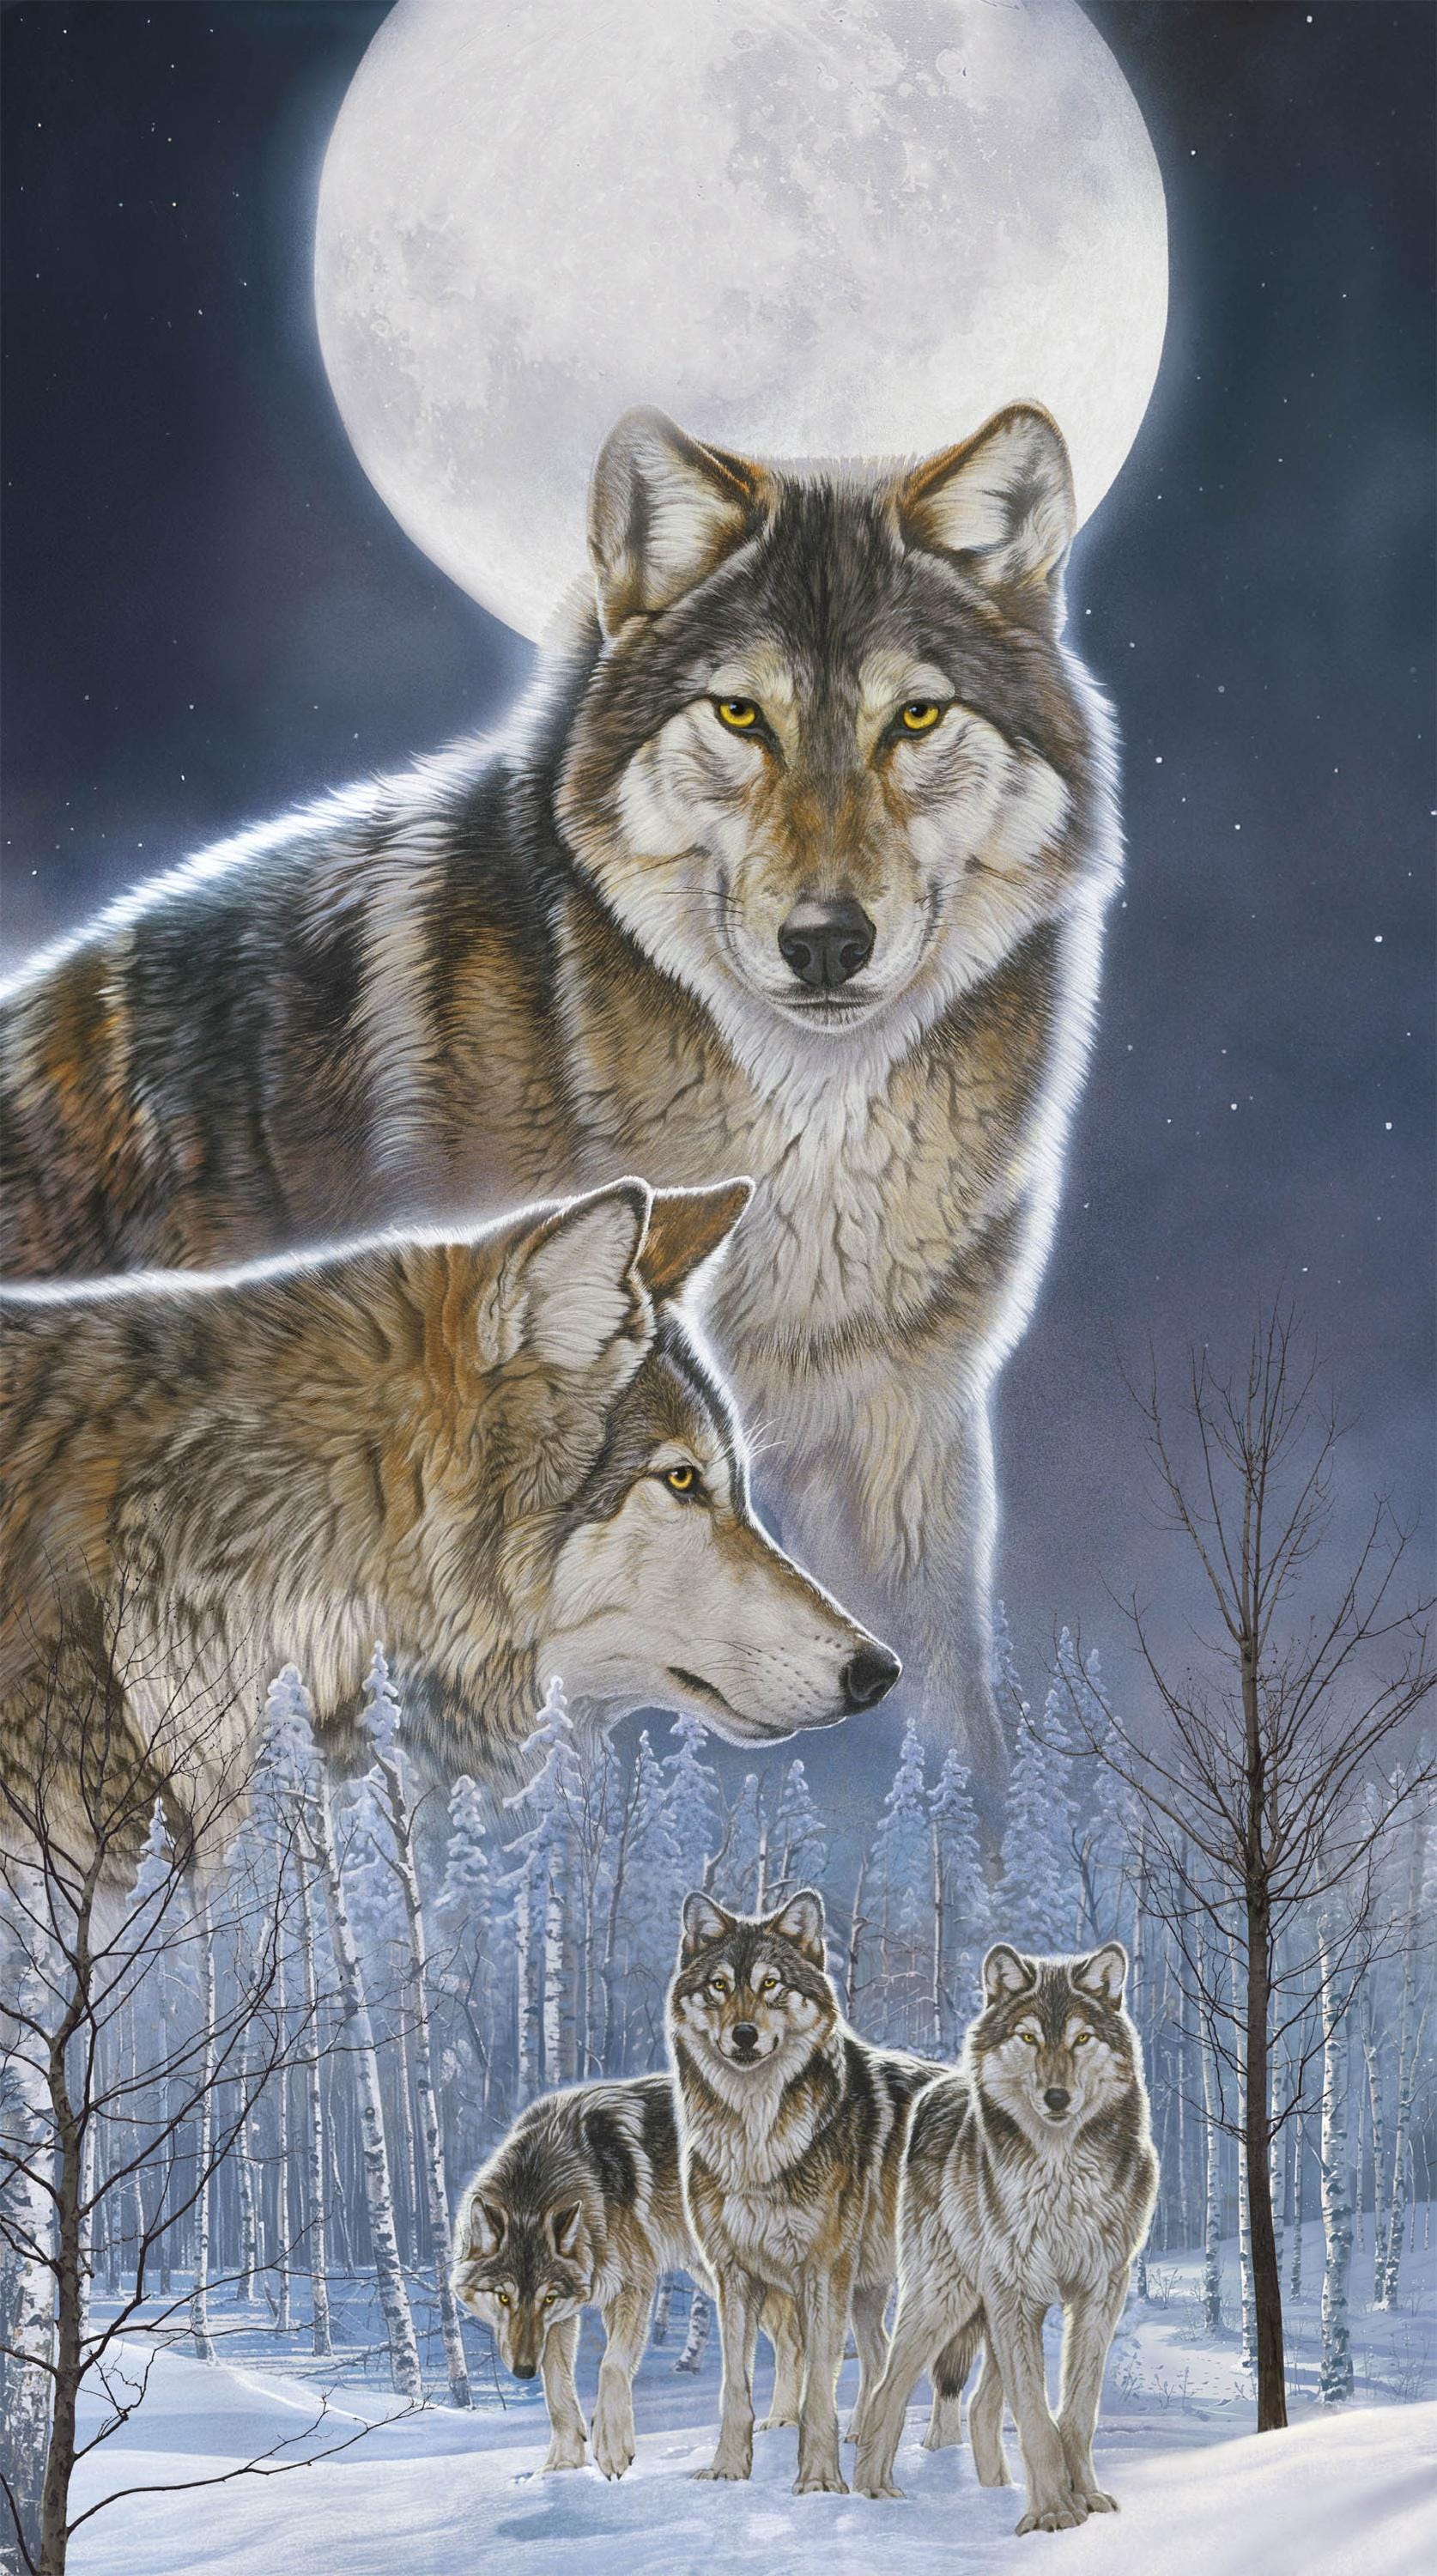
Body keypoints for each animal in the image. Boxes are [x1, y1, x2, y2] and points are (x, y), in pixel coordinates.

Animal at [451, 2072, 801, 2478]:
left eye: (547, 2297)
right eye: (504, 2297)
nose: (523, 2371)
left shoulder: (634, 2285)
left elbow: (611, 2364)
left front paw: (612, 2446)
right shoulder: (562, 2317)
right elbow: (557, 2390)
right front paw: (561, 2465)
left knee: (795, 2337)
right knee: (791, 2337)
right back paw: (784, 2421)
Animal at [667, 1886, 943, 2496]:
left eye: (771, 1983)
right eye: (720, 1985)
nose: (744, 2035)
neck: (756, 2138)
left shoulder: (822, 2270)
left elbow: (819, 2386)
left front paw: (818, 2479)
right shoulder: (734, 2276)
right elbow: (735, 2389)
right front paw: (728, 2471)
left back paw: (943, 2449)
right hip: (868, 2290)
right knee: (880, 2358)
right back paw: (865, 2438)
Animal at [853, 1941, 1158, 2534]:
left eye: (1081, 2039)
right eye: (1029, 2038)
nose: (1058, 2097)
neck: (1062, 2177)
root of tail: (937, 2086)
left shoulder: (1099, 2293)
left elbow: (1076, 2413)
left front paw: (1084, 2498)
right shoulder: (1015, 2293)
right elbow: (1036, 2418)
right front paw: (1051, 2514)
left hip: (996, 2308)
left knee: (978, 2407)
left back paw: (997, 2490)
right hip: (948, 2298)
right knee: (885, 2388)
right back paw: (870, 2491)